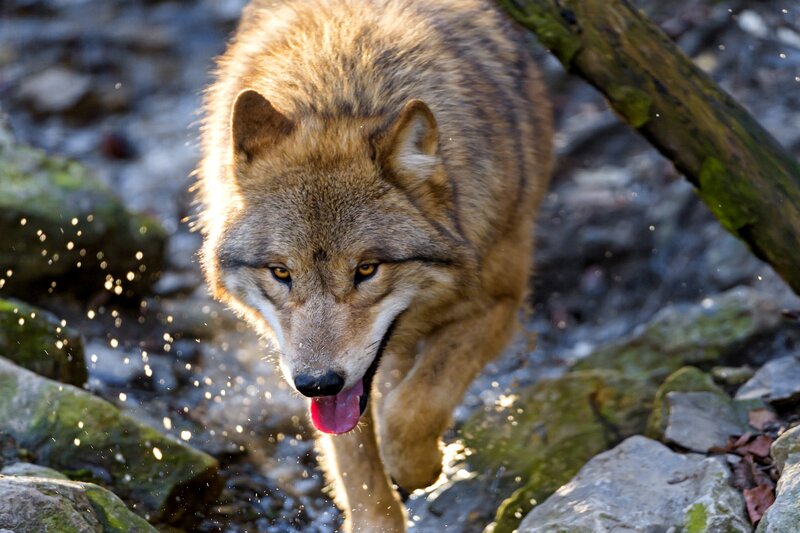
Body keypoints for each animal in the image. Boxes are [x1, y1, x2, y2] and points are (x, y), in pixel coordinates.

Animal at [198, 0, 553, 530]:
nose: (316, 383)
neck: (342, 94)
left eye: (367, 270)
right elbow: (356, 461)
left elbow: (413, 409)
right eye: (281, 273)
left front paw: (424, 467)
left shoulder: (499, 303)